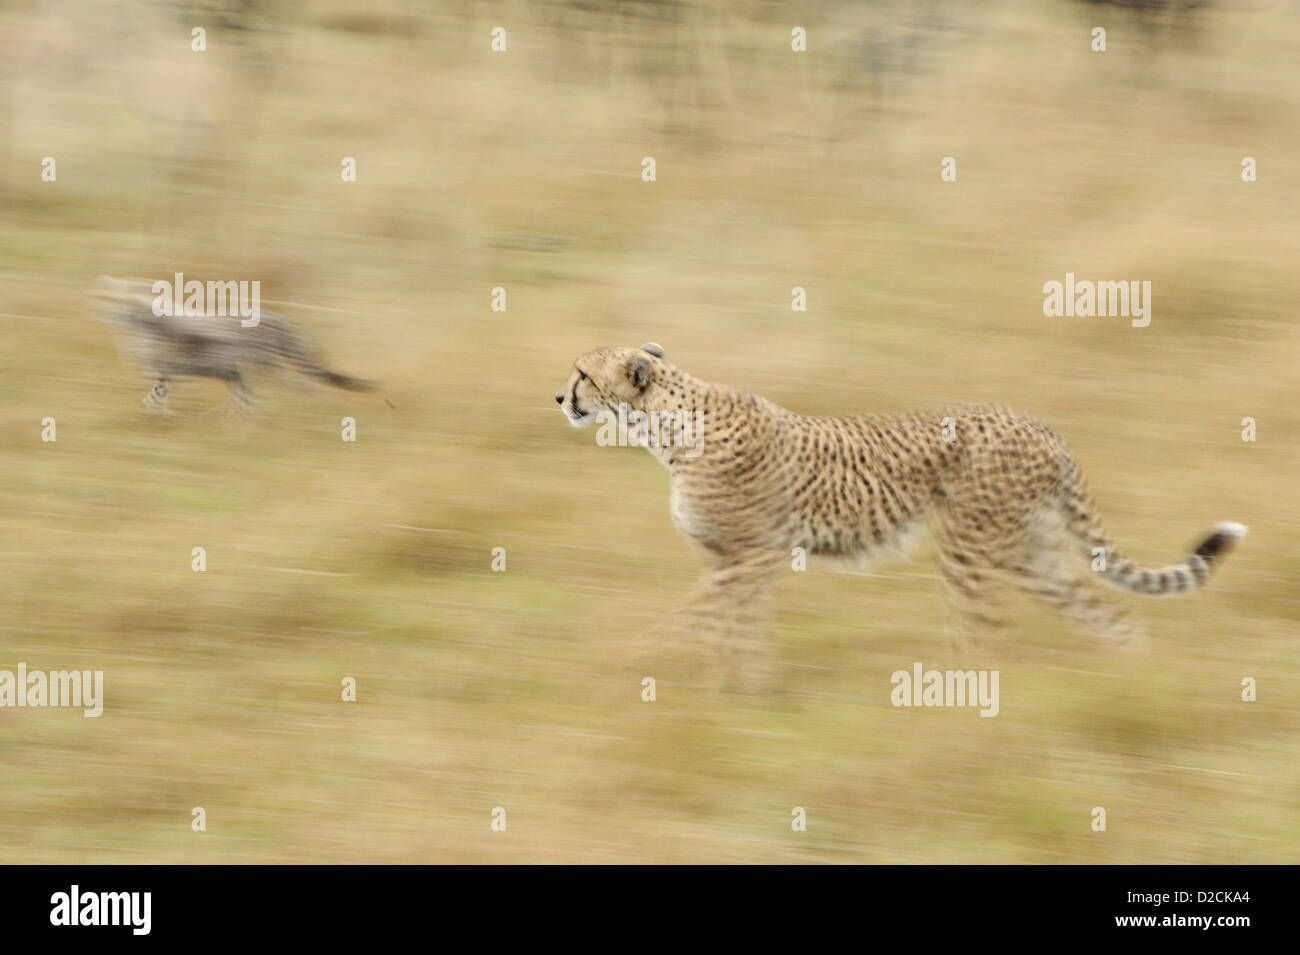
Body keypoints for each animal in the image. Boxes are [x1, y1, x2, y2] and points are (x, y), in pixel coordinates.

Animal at [87, 272, 377, 415]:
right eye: (106, 298)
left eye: (124, 301)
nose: (109, 312)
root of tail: (283, 319)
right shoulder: (168, 373)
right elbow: (155, 397)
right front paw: (157, 415)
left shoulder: (175, 370)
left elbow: (153, 398)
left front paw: (155, 415)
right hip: (240, 371)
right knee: (247, 399)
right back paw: (227, 421)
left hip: (260, 368)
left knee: (300, 388)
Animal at [556, 343, 1248, 657]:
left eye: (584, 373)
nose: (560, 397)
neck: (667, 426)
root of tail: (1040, 425)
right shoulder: (737, 559)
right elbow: (731, 630)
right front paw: (734, 693)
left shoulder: (746, 556)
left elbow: (698, 622)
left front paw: (643, 663)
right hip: (1029, 551)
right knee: (1102, 609)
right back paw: (1128, 674)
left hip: (972, 549)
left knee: (979, 633)